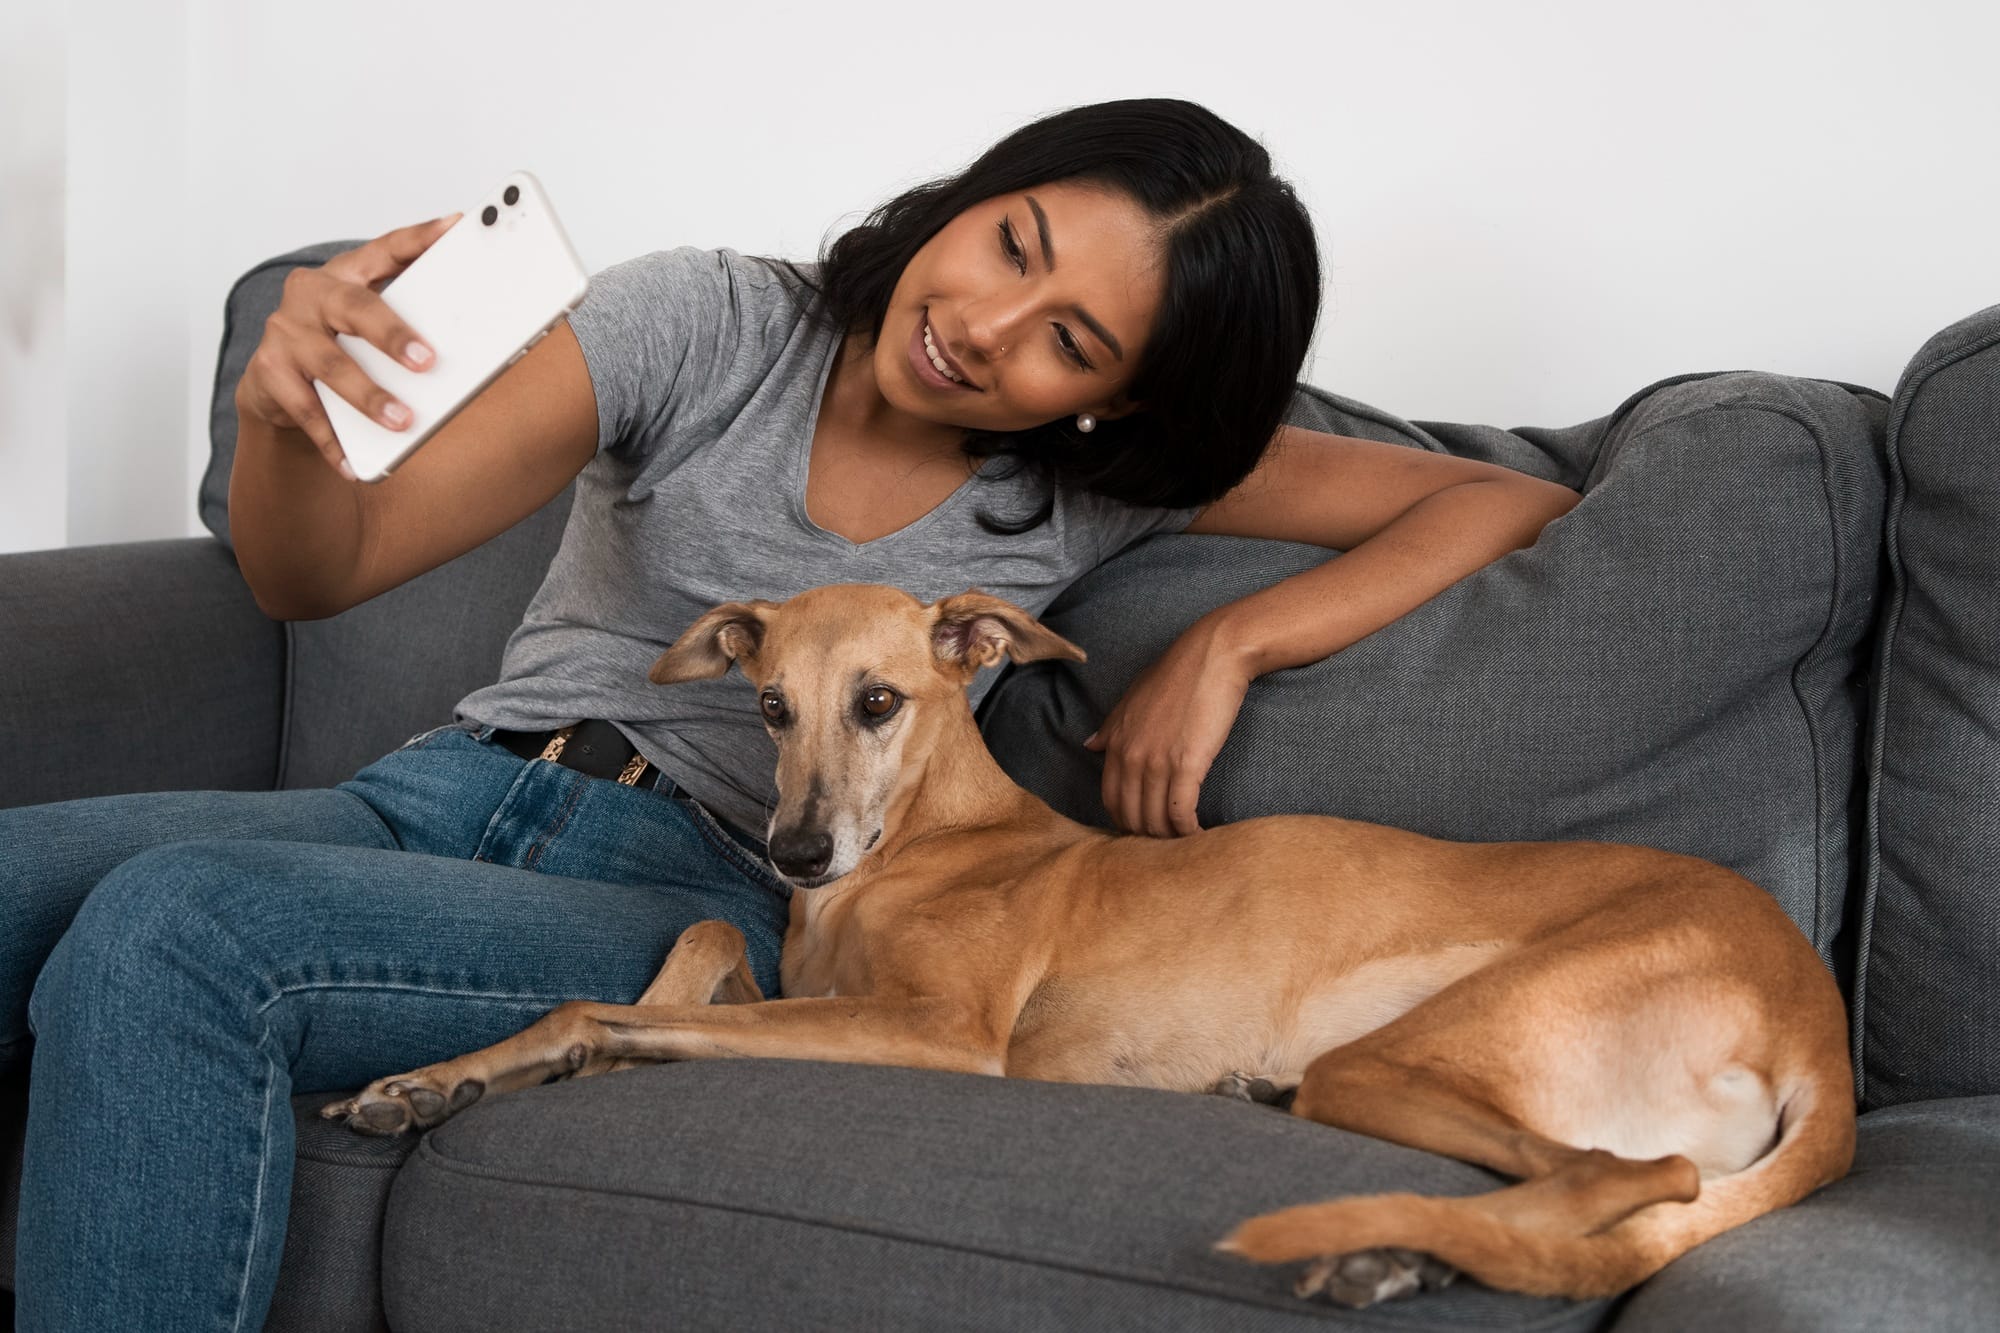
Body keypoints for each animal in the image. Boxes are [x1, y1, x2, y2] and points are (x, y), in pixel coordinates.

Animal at [322, 583, 1854, 1308]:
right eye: (767, 706)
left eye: (878, 700)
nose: (797, 855)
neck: (927, 839)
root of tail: (1813, 1015)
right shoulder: (793, 971)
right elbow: (698, 939)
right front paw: (445, 1078)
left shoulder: (941, 1033)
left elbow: (616, 1000)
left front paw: (559, 1055)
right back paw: (1395, 1254)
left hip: (1405, 1053)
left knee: (1633, 1178)